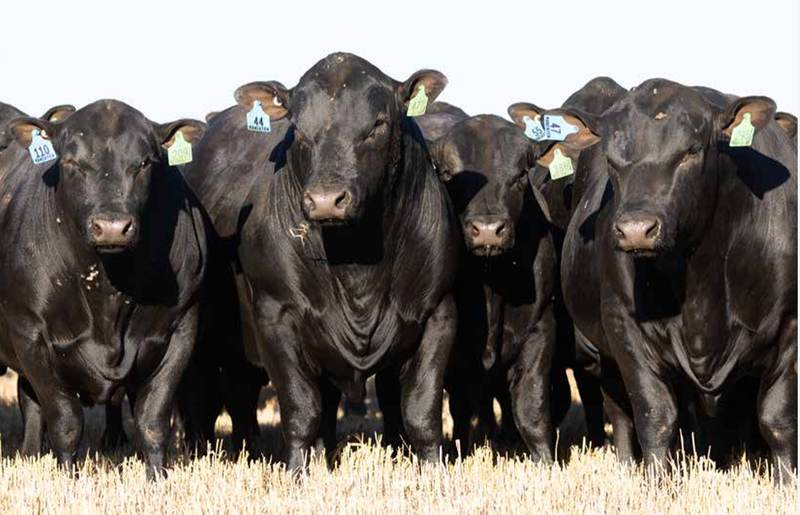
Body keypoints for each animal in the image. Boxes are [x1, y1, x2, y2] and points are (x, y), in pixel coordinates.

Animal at [0, 100, 207, 479]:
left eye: (144, 163)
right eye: (70, 162)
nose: (112, 227)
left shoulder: (182, 328)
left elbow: (153, 419)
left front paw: (157, 477)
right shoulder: (29, 334)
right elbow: (65, 421)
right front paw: (68, 478)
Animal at [182, 52, 459, 472]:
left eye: (378, 124)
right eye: (297, 128)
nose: (327, 200)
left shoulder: (438, 312)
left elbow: (421, 409)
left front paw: (433, 471)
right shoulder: (275, 315)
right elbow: (300, 409)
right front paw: (297, 473)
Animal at [551, 79, 796, 480]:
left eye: (690, 152)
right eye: (612, 160)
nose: (636, 229)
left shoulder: (789, 328)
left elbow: (777, 419)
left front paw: (787, 482)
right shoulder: (624, 329)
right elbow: (655, 415)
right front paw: (656, 481)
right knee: (620, 412)